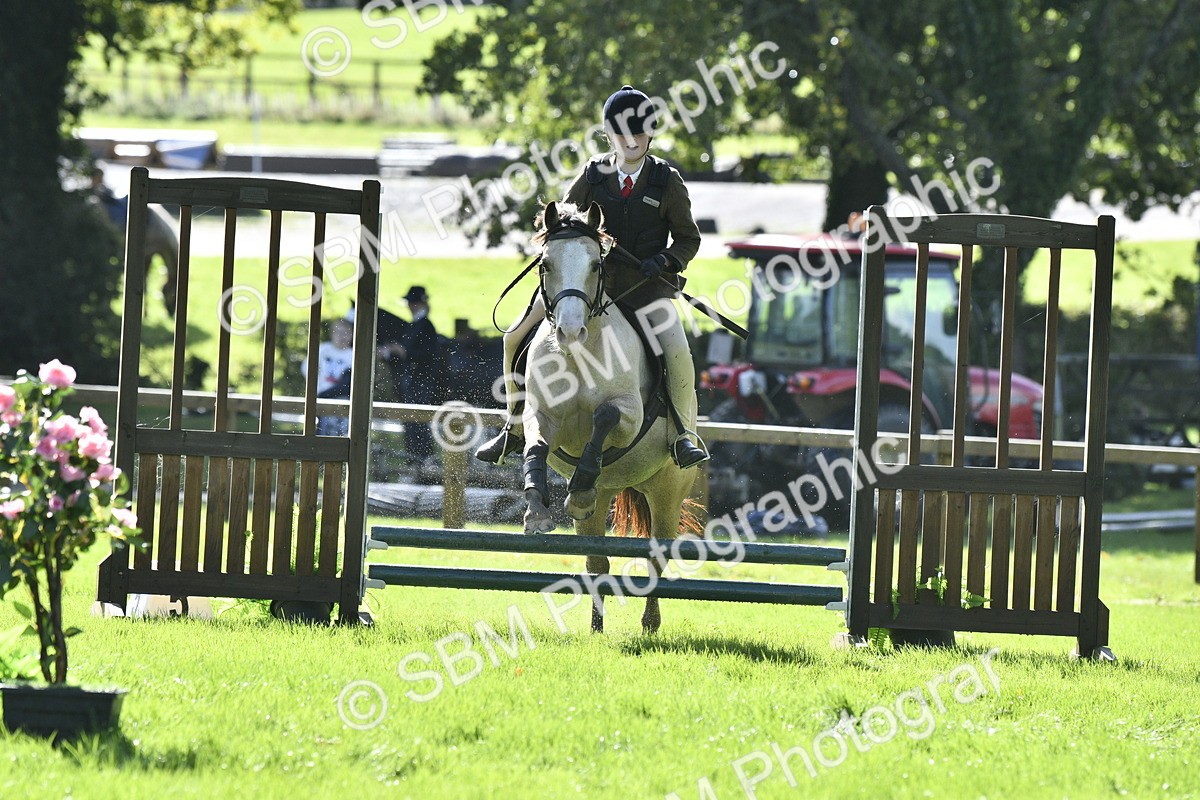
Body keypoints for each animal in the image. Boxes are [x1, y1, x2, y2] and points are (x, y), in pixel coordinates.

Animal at [518, 200, 700, 634]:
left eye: (595, 265)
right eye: (545, 264)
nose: (569, 332)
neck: (579, 356)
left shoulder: (630, 416)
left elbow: (604, 415)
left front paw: (581, 482)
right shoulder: (540, 414)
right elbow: (535, 446)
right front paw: (536, 513)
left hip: (667, 491)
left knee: (657, 556)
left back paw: (650, 623)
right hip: (605, 500)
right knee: (596, 559)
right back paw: (596, 627)